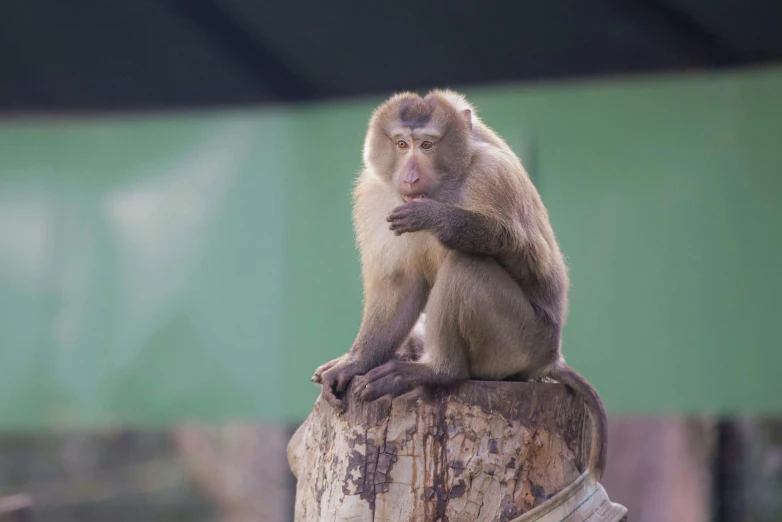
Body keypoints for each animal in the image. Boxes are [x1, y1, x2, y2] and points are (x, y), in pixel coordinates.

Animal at [310, 88, 608, 480]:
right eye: (402, 144)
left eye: (426, 144)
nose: (409, 176)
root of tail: (550, 358)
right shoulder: (375, 195)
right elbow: (399, 286)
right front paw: (355, 362)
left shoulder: (492, 175)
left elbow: (523, 250)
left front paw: (438, 218)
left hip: (522, 342)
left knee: (467, 265)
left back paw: (437, 370)